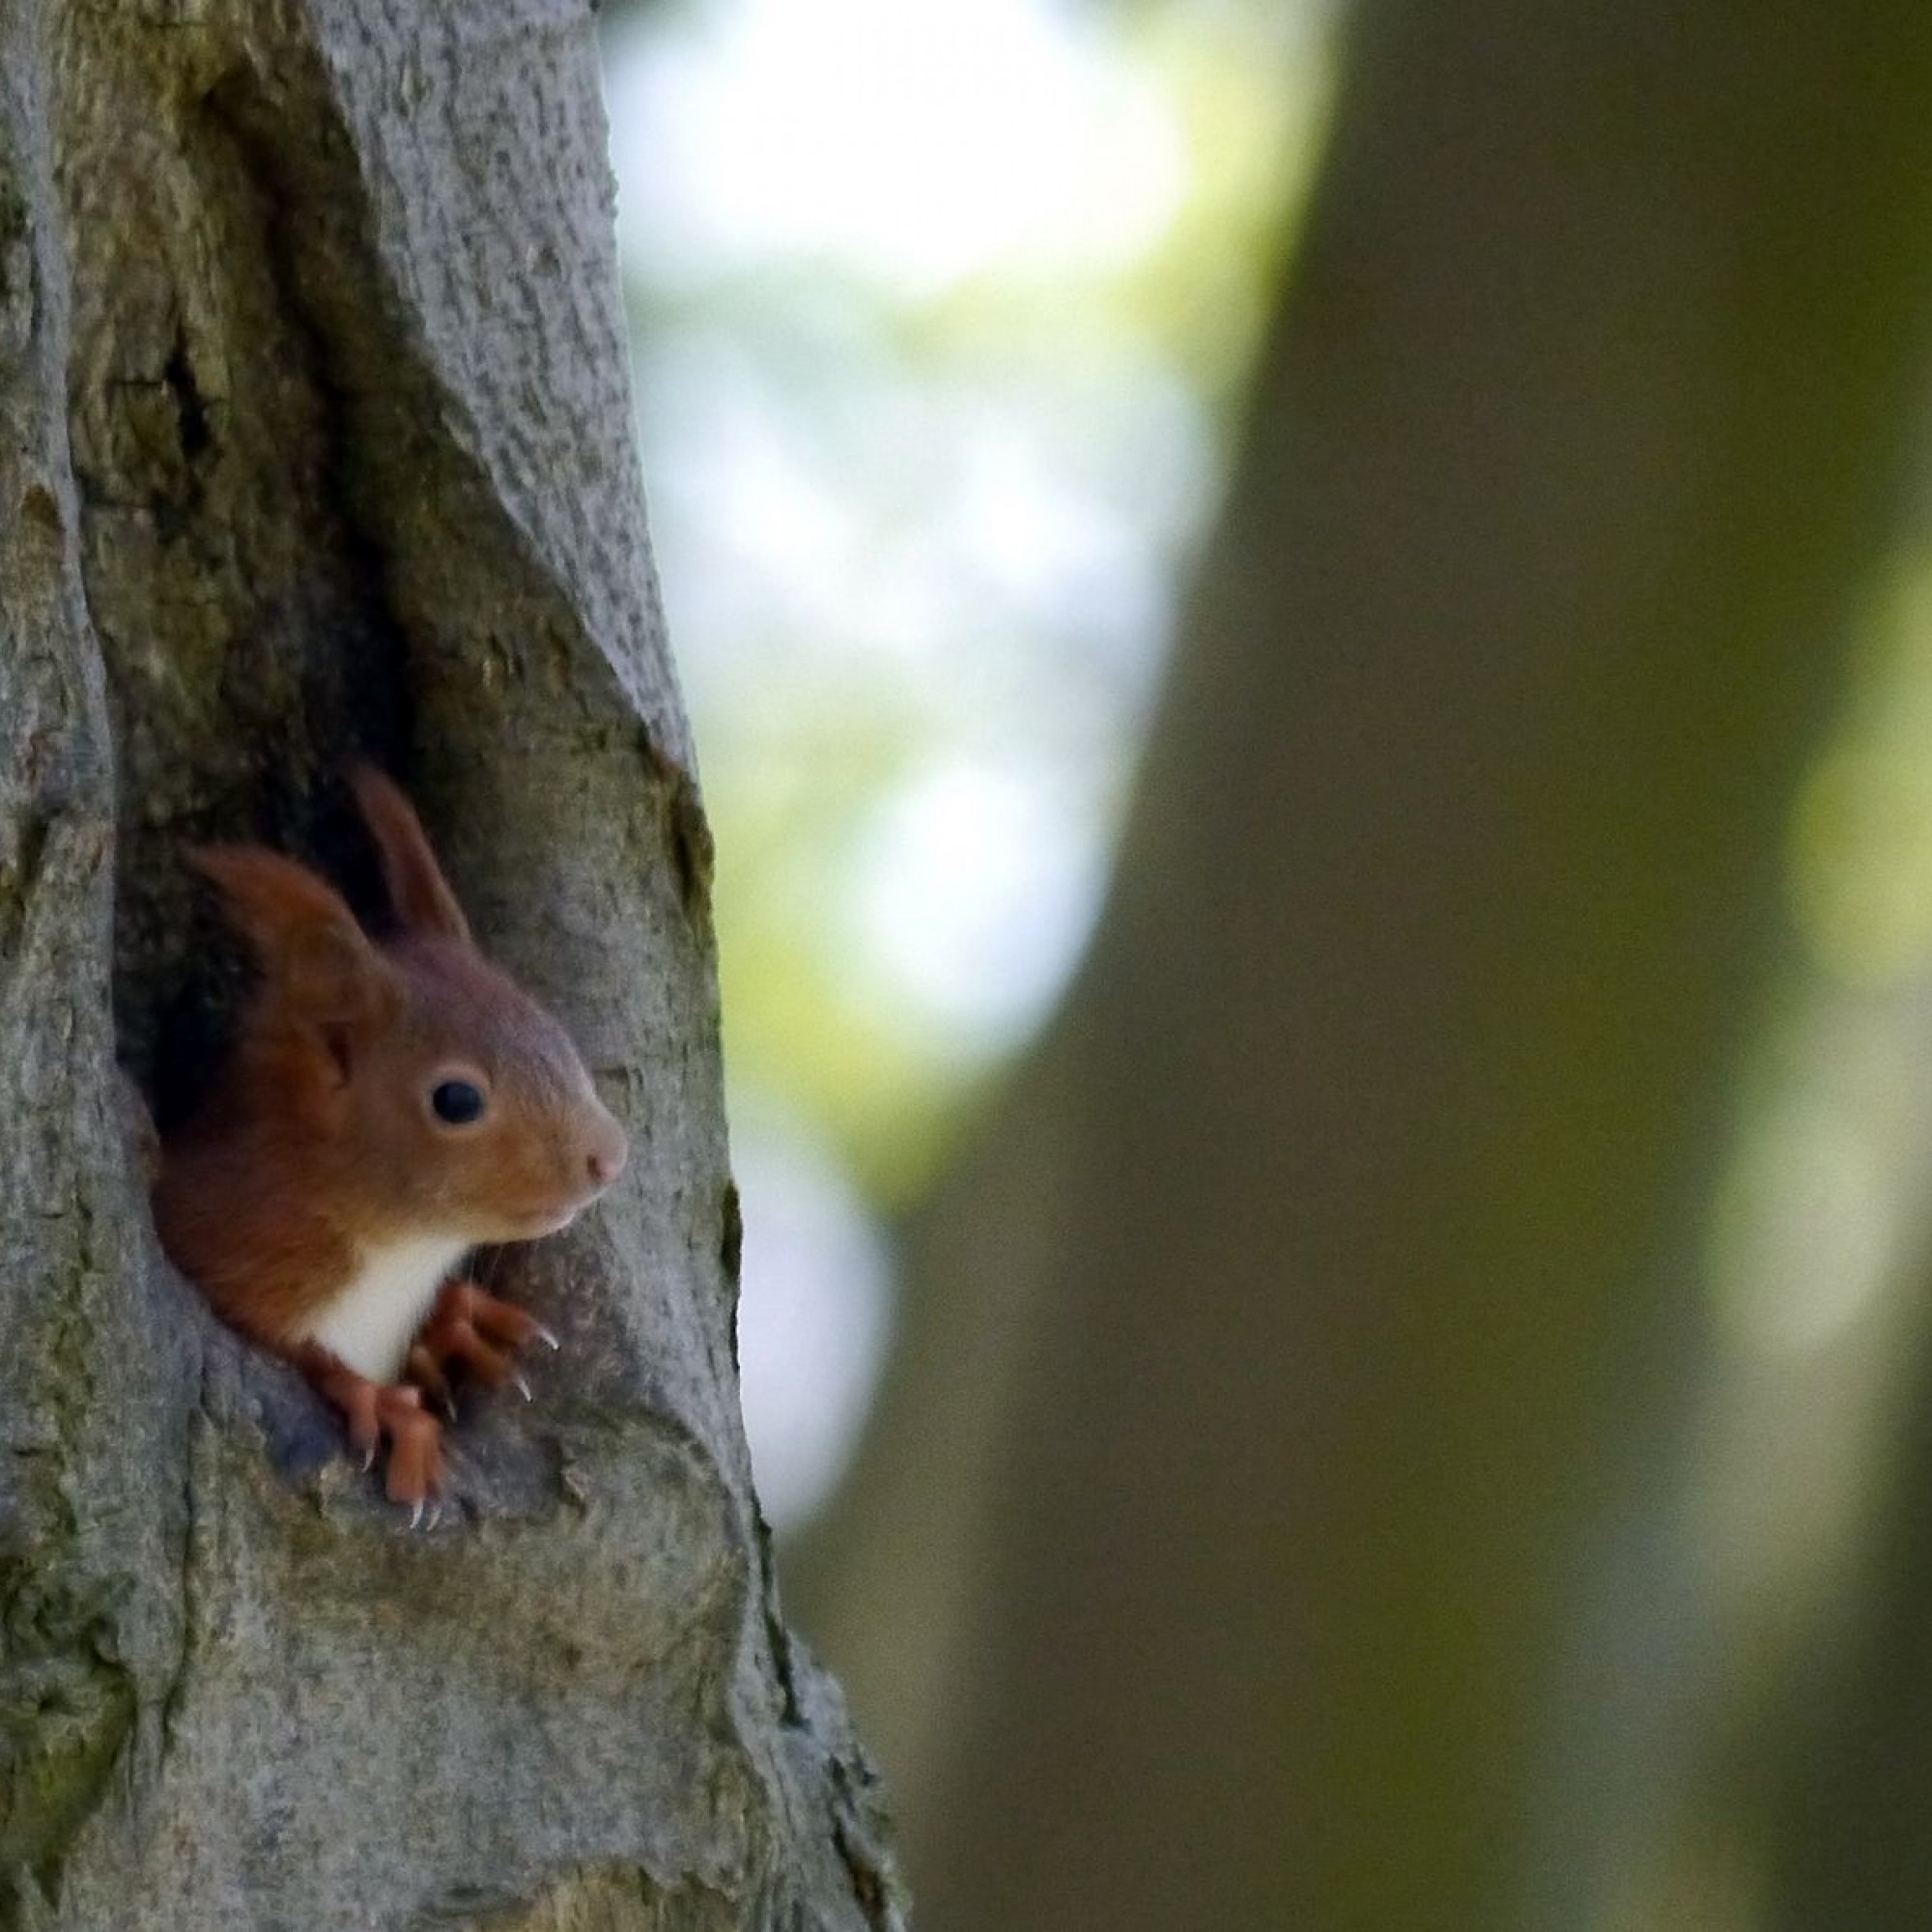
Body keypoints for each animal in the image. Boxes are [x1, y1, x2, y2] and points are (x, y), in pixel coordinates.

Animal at [157, 761, 630, 1515]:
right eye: (456, 1100)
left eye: (552, 1028)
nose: (608, 1157)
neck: (397, 1257)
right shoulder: (222, 1235)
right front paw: (380, 1403)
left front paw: (456, 1330)